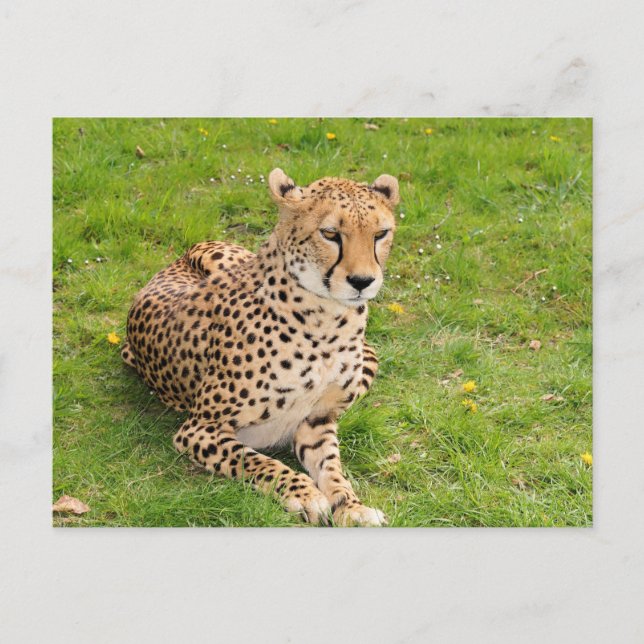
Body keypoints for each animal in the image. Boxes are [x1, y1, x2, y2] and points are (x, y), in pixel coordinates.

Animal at [121, 168, 399, 526]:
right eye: (330, 233)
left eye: (380, 234)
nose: (363, 282)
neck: (327, 321)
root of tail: (186, 251)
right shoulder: (199, 428)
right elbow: (258, 462)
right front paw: (305, 494)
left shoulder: (316, 423)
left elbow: (333, 471)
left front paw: (351, 507)